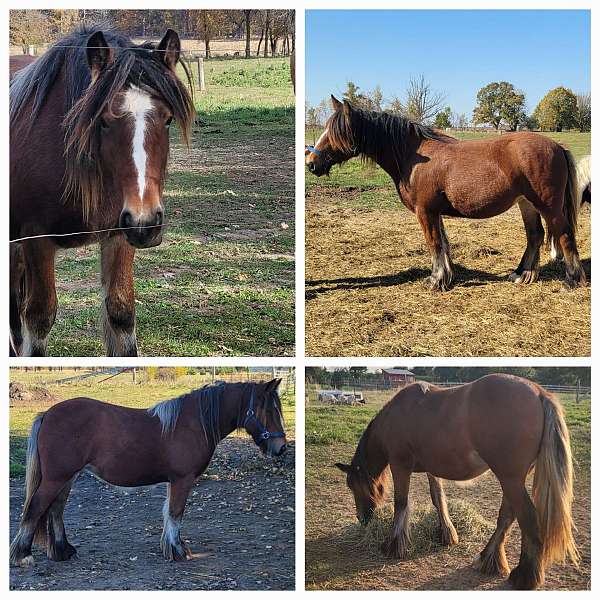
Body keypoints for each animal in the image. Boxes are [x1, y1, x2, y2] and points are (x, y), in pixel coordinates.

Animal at [9, 27, 195, 356]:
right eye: (105, 121)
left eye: (168, 119)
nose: (147, 223)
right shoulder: (35, 238)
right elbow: (40, 318)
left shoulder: (120, 233)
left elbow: (121, 312)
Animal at [10, 380, 288, 568]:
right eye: (269, 410)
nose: (281, 448)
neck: (193, 423)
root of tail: (47, 414)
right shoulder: (183, 480)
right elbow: (176, 513)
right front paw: (178, 551)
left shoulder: (174, 481)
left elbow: (169, 514)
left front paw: (171, 547)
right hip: (57, 478)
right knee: (35, 508)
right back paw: (23, 556)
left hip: (67, 478)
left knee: (56, 510)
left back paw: (63, 551)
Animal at [308, 97, 588, 292]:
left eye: (336, 133)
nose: (311, 162)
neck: (413, 157)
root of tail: (557, 146)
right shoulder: (435, 212)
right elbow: (443, 243)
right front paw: (447, 277)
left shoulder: (425, 211)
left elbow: (433, 244)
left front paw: (435, 280)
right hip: (526, 203)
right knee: (535, 235)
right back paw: (522, 274)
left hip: (548, 206)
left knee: (564, 235)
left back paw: (572, 280)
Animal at [336, 376, 580, 592]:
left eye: (352, 485)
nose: (362, 518)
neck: (397, 415)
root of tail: (539, 393)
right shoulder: (432, 469)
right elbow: (437, 498)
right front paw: (447, 534)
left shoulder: (400, 465)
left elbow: (401, 503)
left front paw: (393, 545)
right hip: (512, 480)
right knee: (506, 517)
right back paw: (488, 559)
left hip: (510, 480)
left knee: (526, 518)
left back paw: (524, 576)